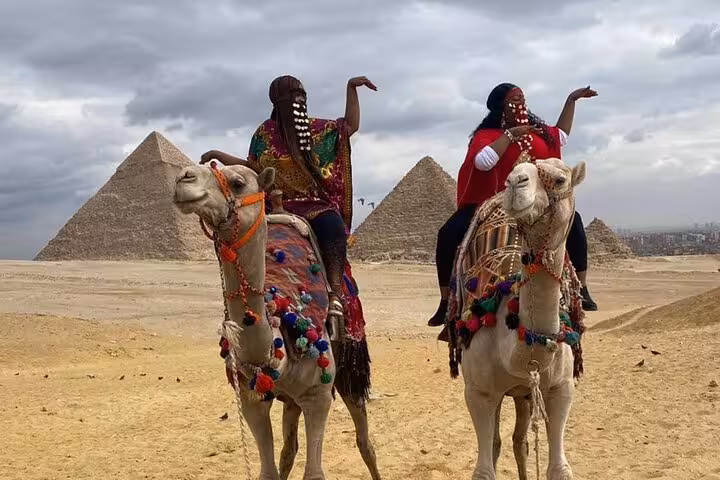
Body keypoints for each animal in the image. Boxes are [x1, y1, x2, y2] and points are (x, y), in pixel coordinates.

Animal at [173, 162, 380, 480]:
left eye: (238, 182)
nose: (184, 177)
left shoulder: (318, 395)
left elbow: (315, 474)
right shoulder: (251, 399)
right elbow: (268, 471)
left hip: (348, 366)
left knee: (365, 442)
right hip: (289, 397)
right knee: (288, 449)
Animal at [459, 157, 586, 480]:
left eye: (560, 179)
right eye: (509, 175)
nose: (515, 182)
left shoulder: (560, 388)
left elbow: (559, 468)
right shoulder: (478, 393)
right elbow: (484, 470)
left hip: (524, 393)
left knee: (520, 441)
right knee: (499, 442)